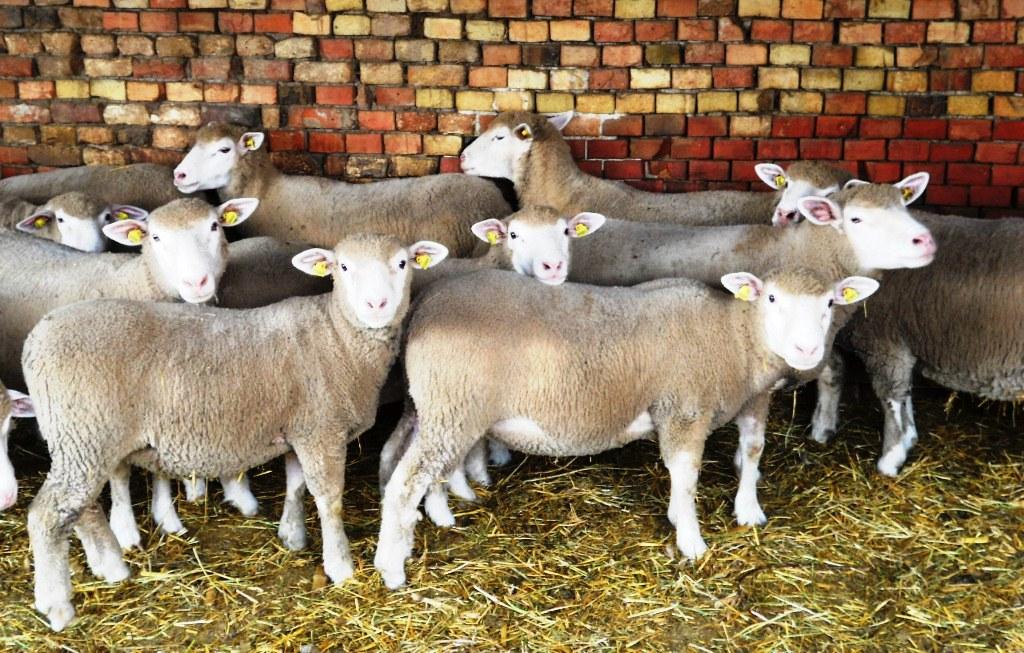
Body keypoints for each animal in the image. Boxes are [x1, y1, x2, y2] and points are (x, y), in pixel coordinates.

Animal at [23, 233, 447, 631]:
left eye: (402, 263)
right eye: (343, 267)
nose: (377, 305)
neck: (337, 337)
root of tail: (36, 341)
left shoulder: (297, 428)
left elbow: (295, 484)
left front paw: (292, 536)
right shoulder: (321, 429)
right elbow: (329, 500)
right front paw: (340, 565)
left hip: (79, 440)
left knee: (81, 508)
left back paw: (110, 566)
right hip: (85, 434)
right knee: (48, 515)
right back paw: (57, 604)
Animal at [374, 267, 878, 588]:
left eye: (830, 302)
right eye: (772, 299)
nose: (807, 350)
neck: (733, 332)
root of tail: (425, 304)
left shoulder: (753, 397)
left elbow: (753, 451)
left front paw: (748, 511)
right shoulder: (682, 409)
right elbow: (686, 476)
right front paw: (691, 540)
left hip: (435, 406)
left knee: (404, 461)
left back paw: (431, 521)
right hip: (453, 406)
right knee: (405, 481)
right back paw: (392, 568)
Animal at [809, 209, 1024, 477]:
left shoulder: (884, 343)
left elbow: (890, 396)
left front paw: (890, 459)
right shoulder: (901, 343)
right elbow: (904, 393)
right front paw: (908, 437)